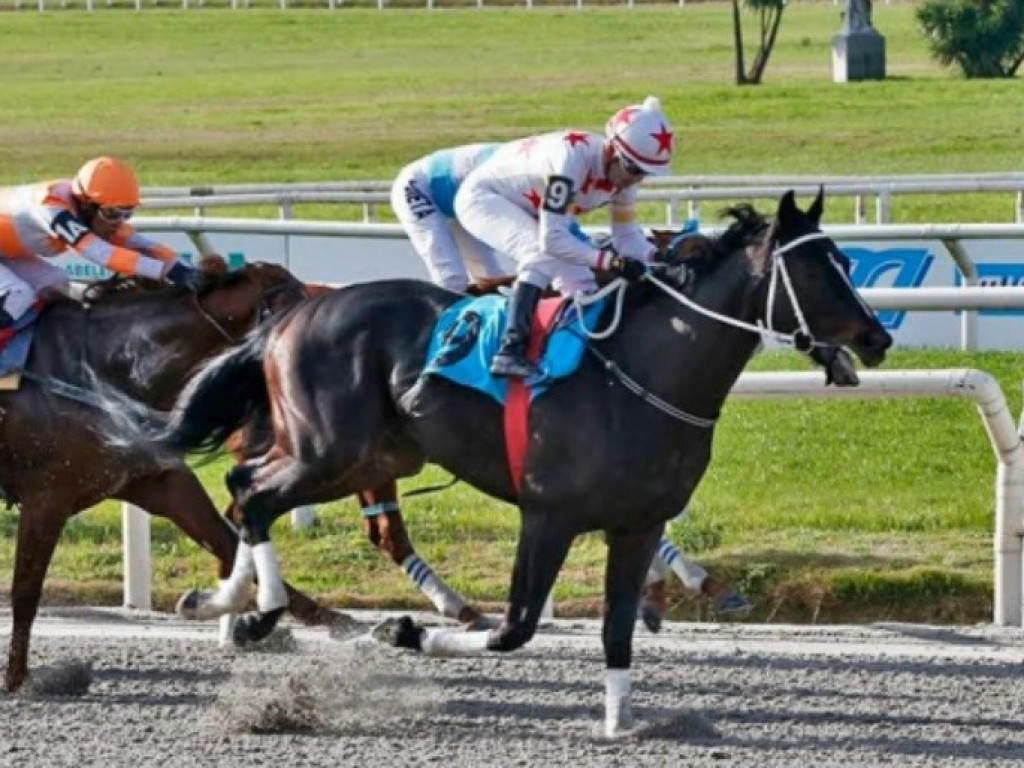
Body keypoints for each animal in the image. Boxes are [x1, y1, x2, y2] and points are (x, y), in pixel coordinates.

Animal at [0, 264, 344, 692]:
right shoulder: (47, 496)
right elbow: (26, 590)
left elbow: (228, 543)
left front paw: (334, 623)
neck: (99, 372)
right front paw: (18, 679)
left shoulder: (160, 480)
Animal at [101, 191, 888, 733]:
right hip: (333, 451)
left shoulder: (636, 524)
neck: (642, 372)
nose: (877, 338)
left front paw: (619, 722)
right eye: (815, 268)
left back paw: (226, 607)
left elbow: (618, 629)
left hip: (370, 453)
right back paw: (259, 610)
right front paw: (404, 629)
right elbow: (514, 628)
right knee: (257, 496)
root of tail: (291, 313)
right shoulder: (549, 514)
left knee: (243, 487)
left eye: (847, 261)